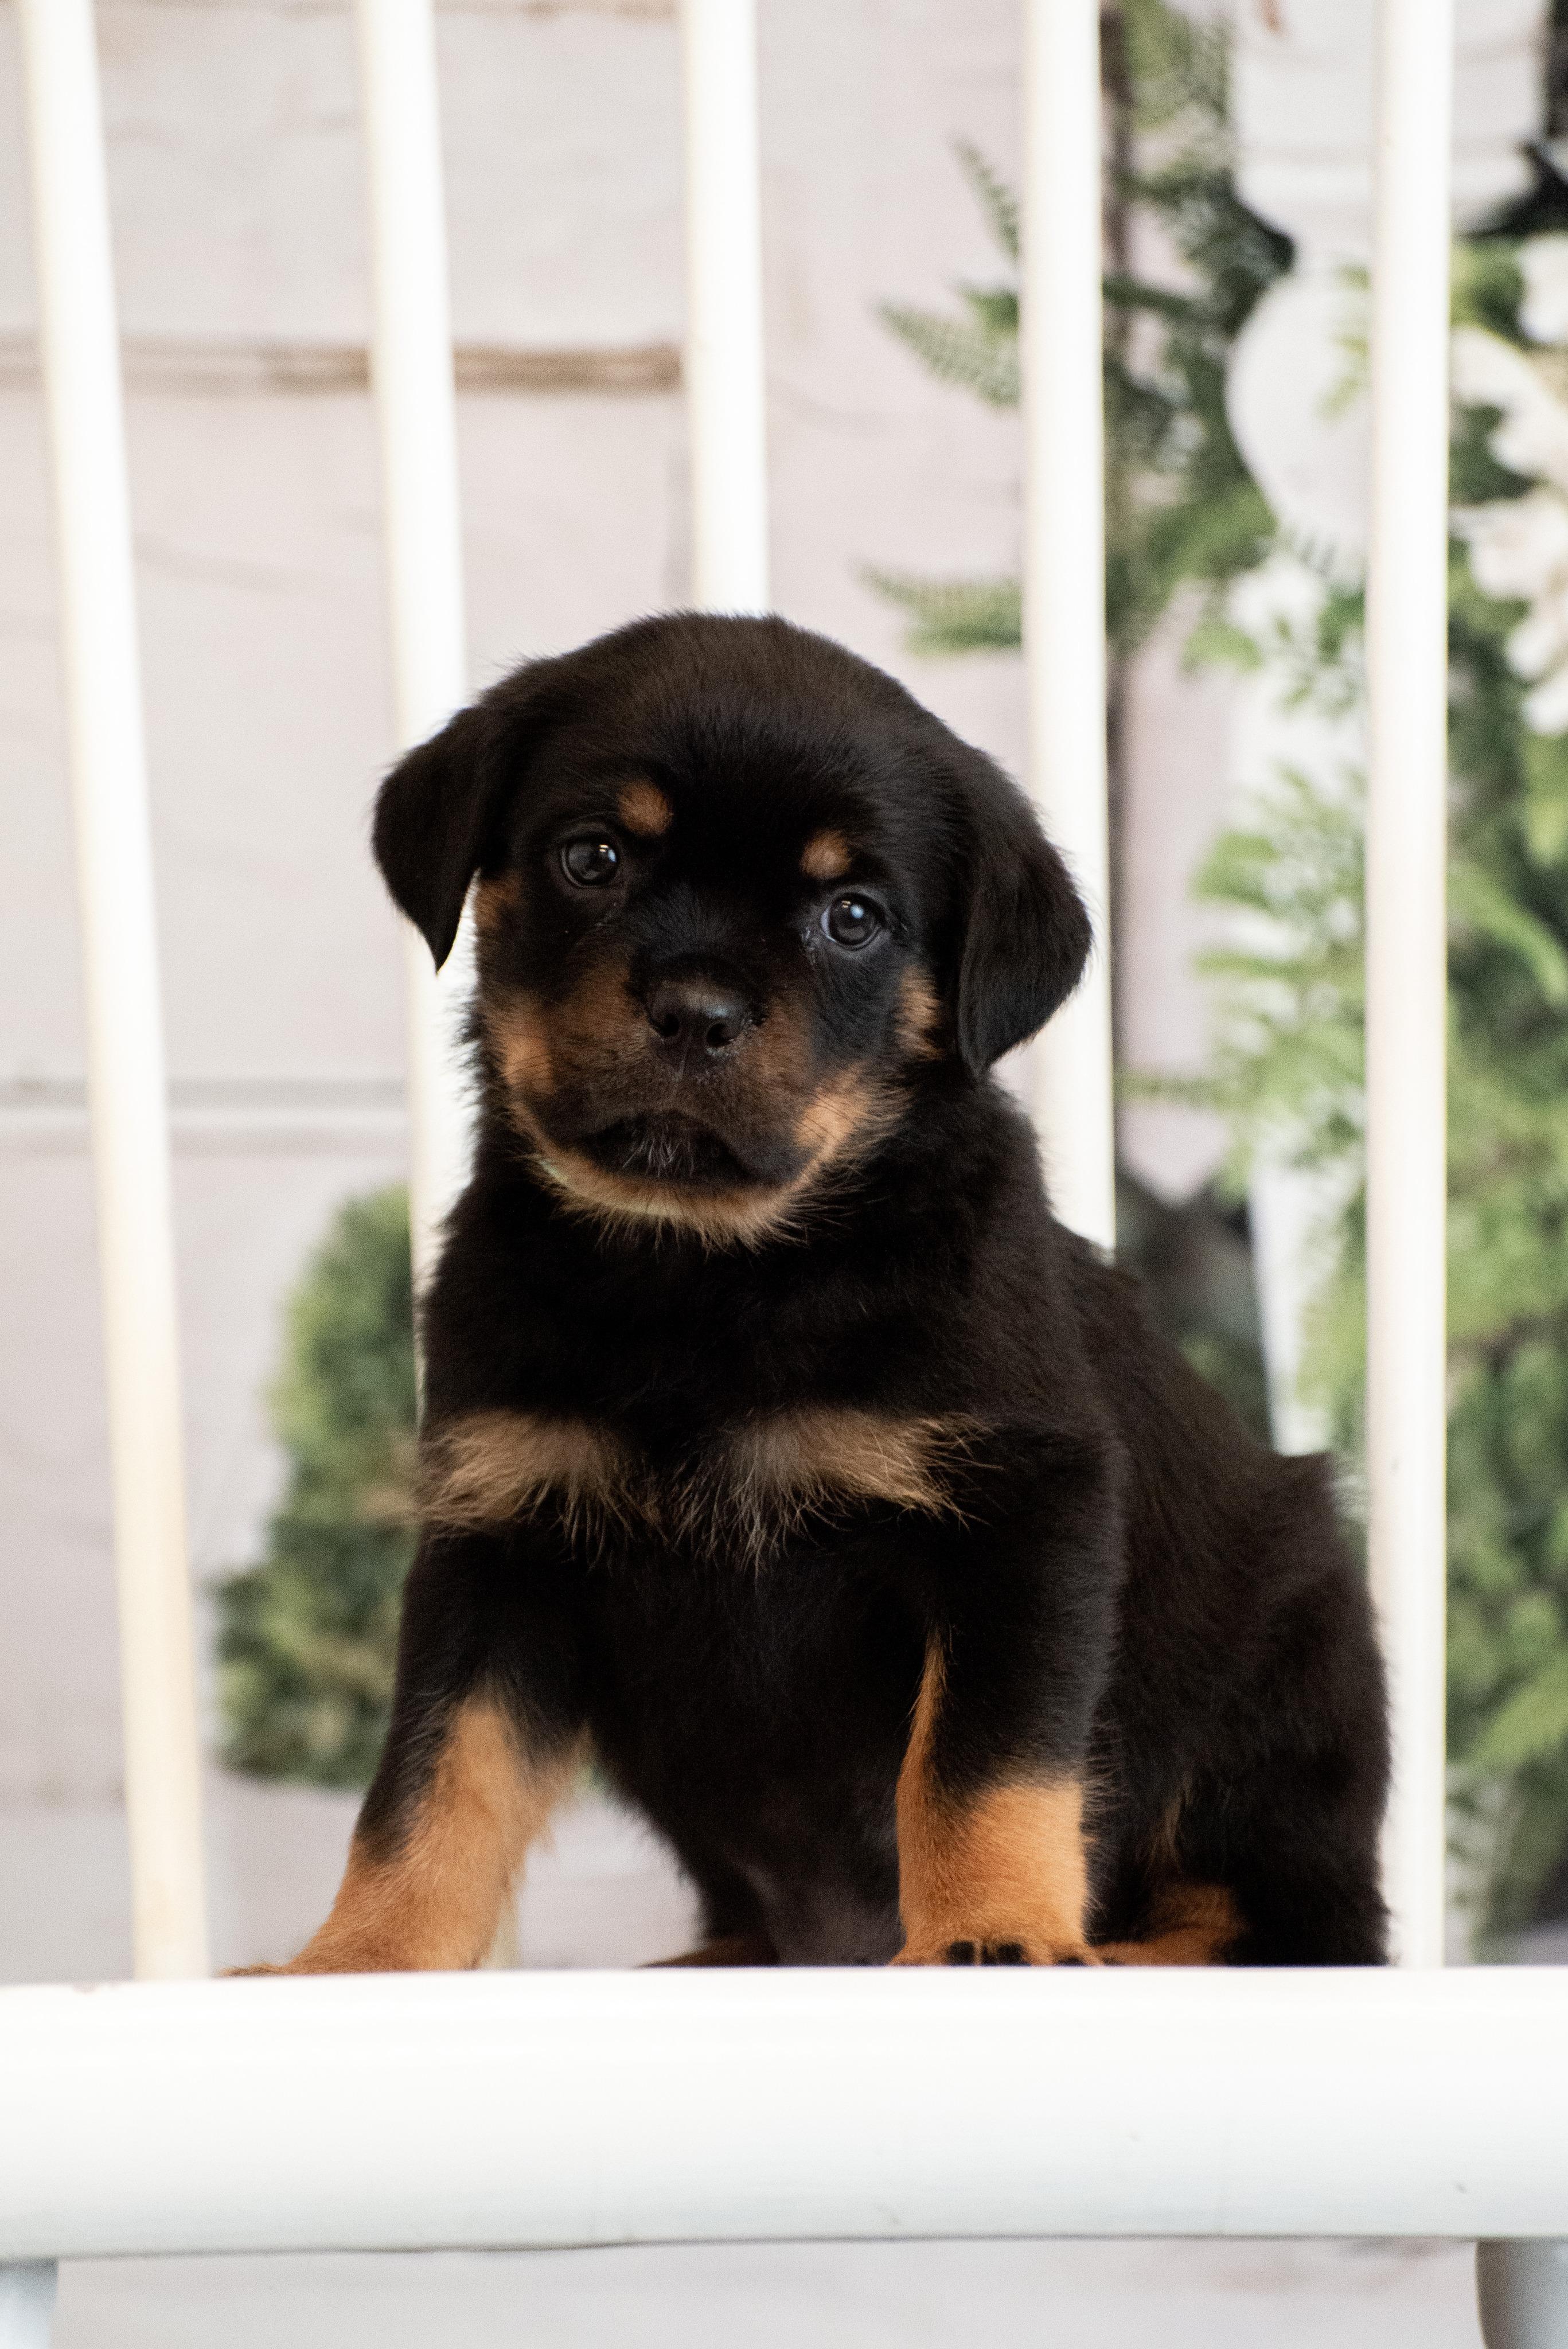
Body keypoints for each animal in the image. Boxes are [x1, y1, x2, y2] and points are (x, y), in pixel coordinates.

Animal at [261, 612, 1389, 1973]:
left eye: (851, 917)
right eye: (592, 857)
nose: (695, 1011)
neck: (703, 1276)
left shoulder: (1022, 1508)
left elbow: (980, 1759)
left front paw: (991, 1932)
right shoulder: (499, 1534)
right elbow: (431, 1781)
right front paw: (356, 1956)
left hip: (1292, 1663)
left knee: (1290, 1922)